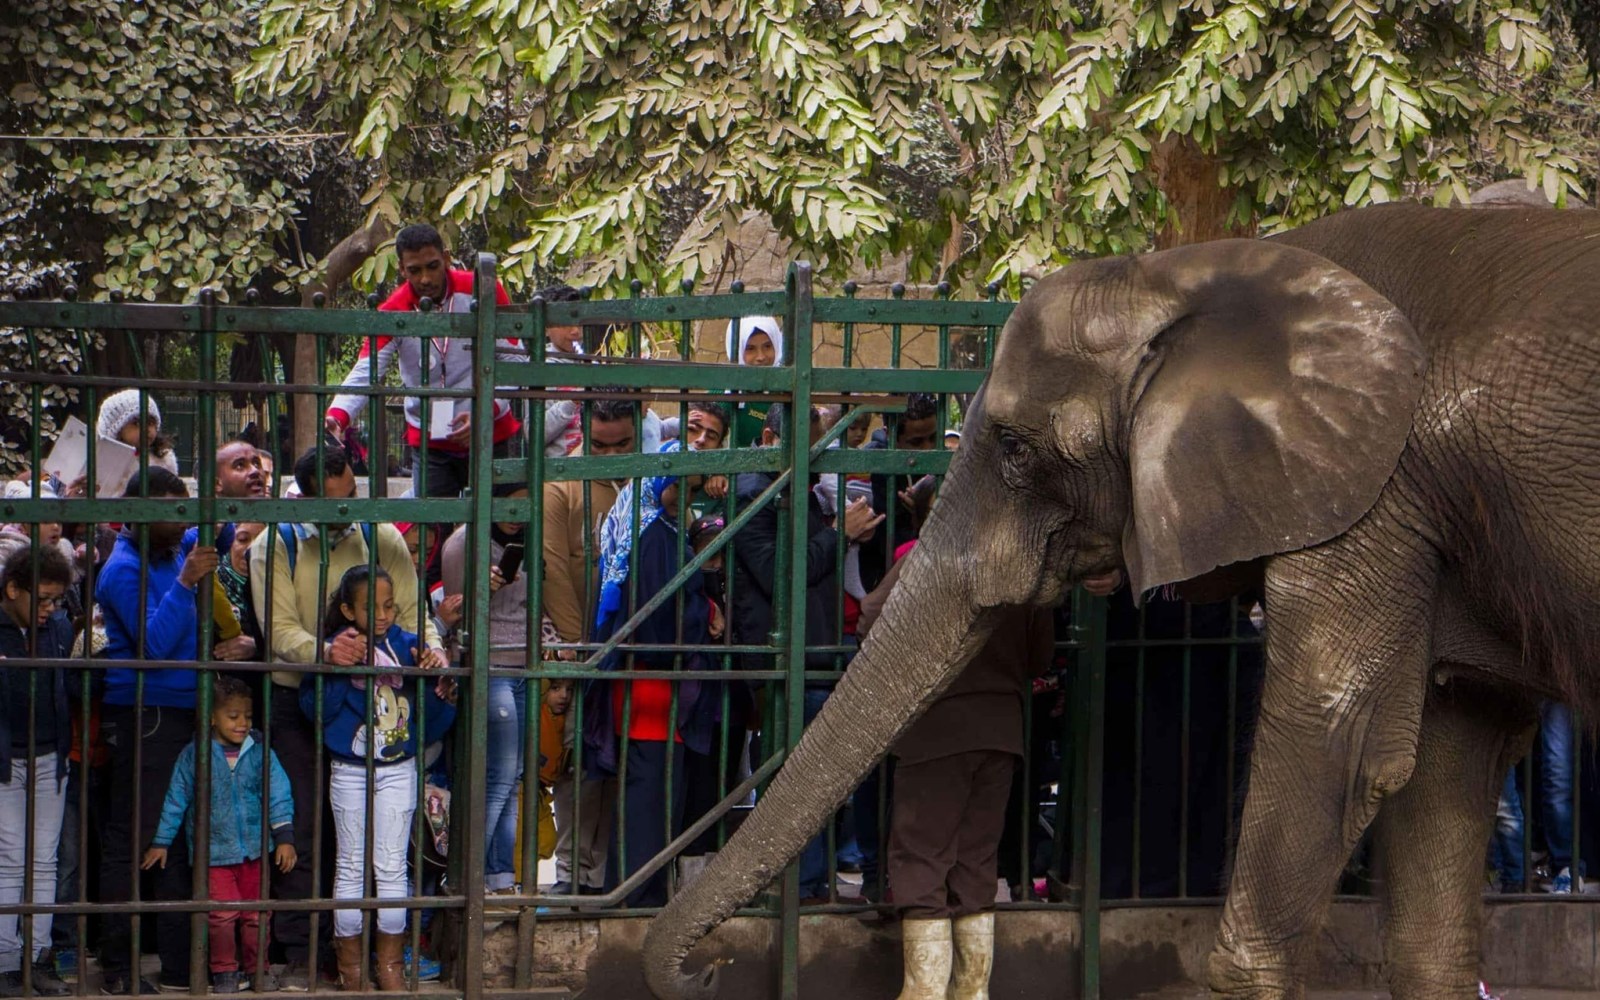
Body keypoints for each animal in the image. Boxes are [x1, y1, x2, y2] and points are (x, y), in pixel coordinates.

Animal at [636, 204, 1600, 998]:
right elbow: (1444, 769)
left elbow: (1342, 747)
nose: (705, 971)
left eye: (1016, 450)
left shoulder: (1370, 496)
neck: (1196, 274)